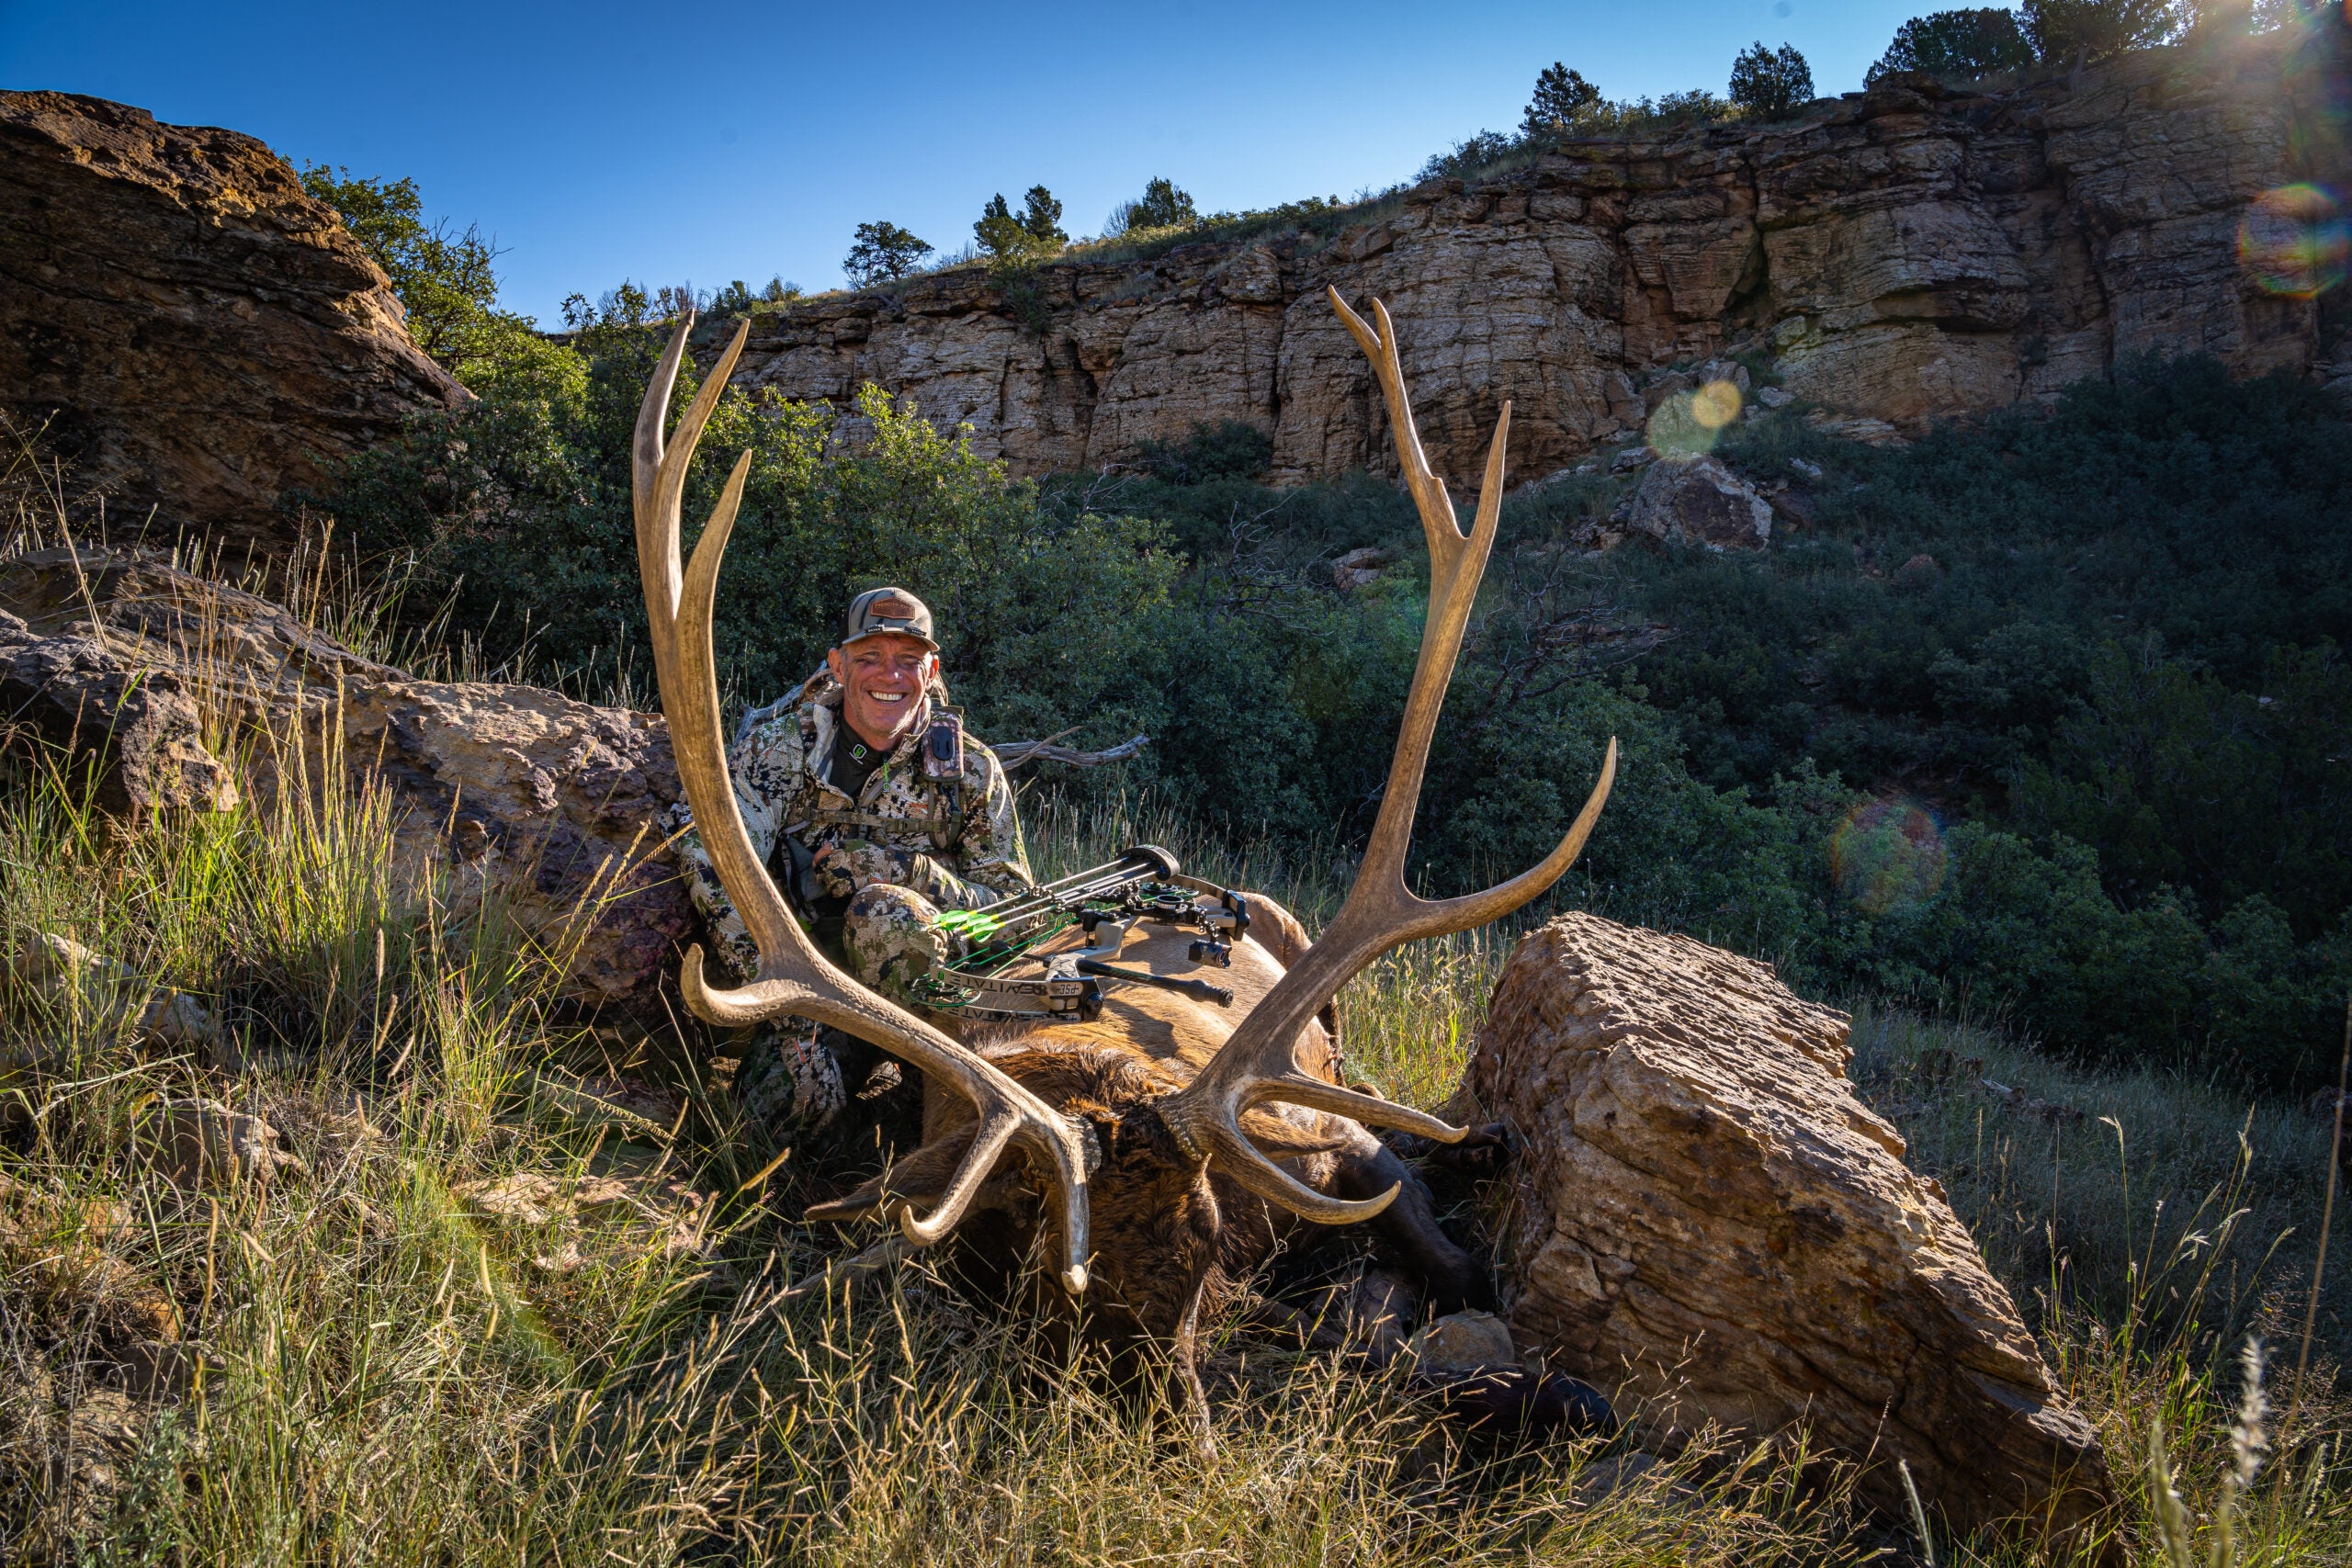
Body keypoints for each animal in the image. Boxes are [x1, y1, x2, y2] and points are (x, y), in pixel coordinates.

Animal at [634, 287, 1617, 1437]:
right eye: (1047, 1276)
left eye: (1202, 1239)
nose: (1178, 1435)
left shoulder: (1326, 1146)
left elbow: (1454, 1272)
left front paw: (1566, 1389)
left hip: (1298, 954)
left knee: (1387, 1096)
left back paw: (1484, 1143)